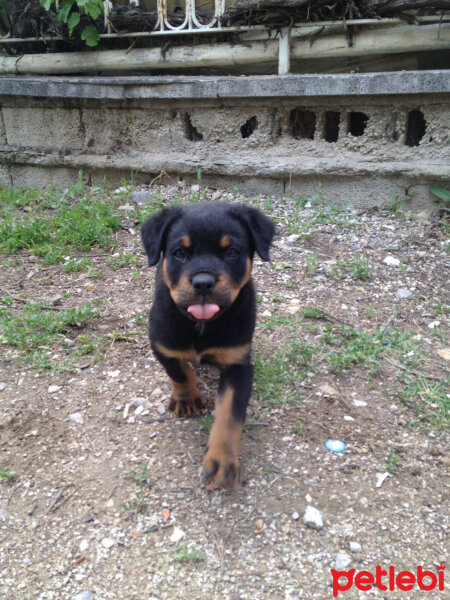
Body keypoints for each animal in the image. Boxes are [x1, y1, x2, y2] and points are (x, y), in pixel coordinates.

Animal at [142, 202, 274, 488]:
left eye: (232, 252)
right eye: (180, 253)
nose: (203, 283)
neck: (202, 323)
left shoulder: (239, 364)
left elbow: (229, 415)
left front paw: (222, 461)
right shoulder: (162, 343)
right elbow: (178, 372)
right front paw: (187, 399)